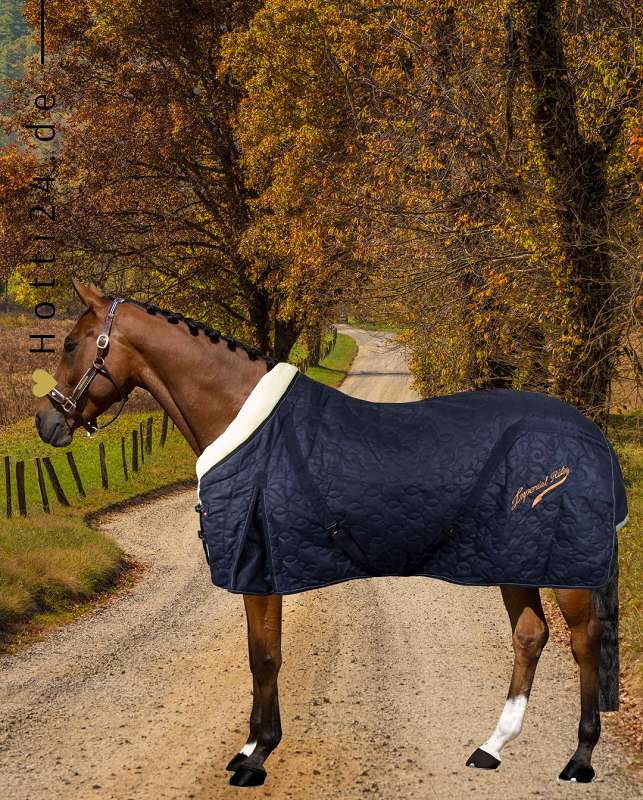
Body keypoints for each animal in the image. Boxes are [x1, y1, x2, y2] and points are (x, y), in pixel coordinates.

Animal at [34, 279, 626, 788]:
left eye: (71, 343)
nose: (47, 422)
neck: (247, 422)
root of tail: (589, 436)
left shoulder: (261, 569)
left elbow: (265, 657)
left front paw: (257, 756)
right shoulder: (260, 573)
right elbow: (258, 652)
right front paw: (248, 749)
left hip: (563, 569)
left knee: (584, 640)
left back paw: (579, 758)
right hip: (512, 559)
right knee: (530, 635)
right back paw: (491, 748)